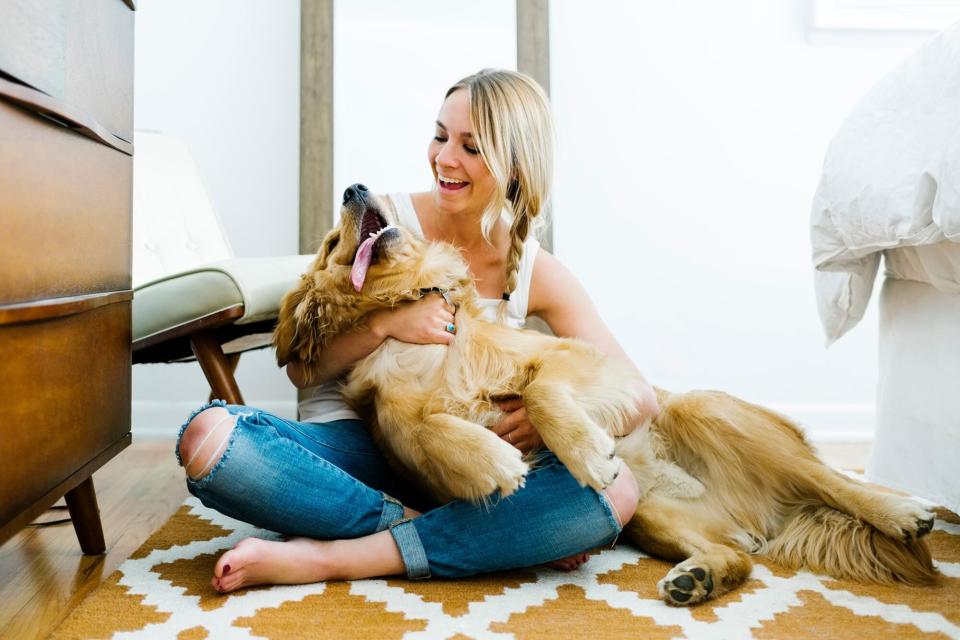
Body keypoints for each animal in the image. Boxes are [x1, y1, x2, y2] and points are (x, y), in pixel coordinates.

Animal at [274, 184, 940, 604]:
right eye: (333, 245)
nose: (354, 187)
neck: (414, 327)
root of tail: (769, 517)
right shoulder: (401, 436)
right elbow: (429, 429)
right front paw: (494, 461)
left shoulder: (582, 361)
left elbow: (540, 390)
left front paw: (583, 451)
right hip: (651, 513)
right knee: (742, 558)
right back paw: (697, 579)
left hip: (705, 410)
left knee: (834, 481)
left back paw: (904, 511)